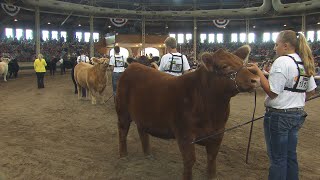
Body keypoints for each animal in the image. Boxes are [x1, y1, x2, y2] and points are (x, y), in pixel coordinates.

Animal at [116, 45, 262, 179]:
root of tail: (133, 66)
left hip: (143, 114)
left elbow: (212, 159)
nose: (256, 80)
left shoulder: (218, 133)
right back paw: (123, 155)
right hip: (122, 112)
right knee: (122, 131)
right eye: (224, 66)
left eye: (243, 63)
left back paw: (147, 153)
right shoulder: (184, 135)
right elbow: (189, 160)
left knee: (142, 130)